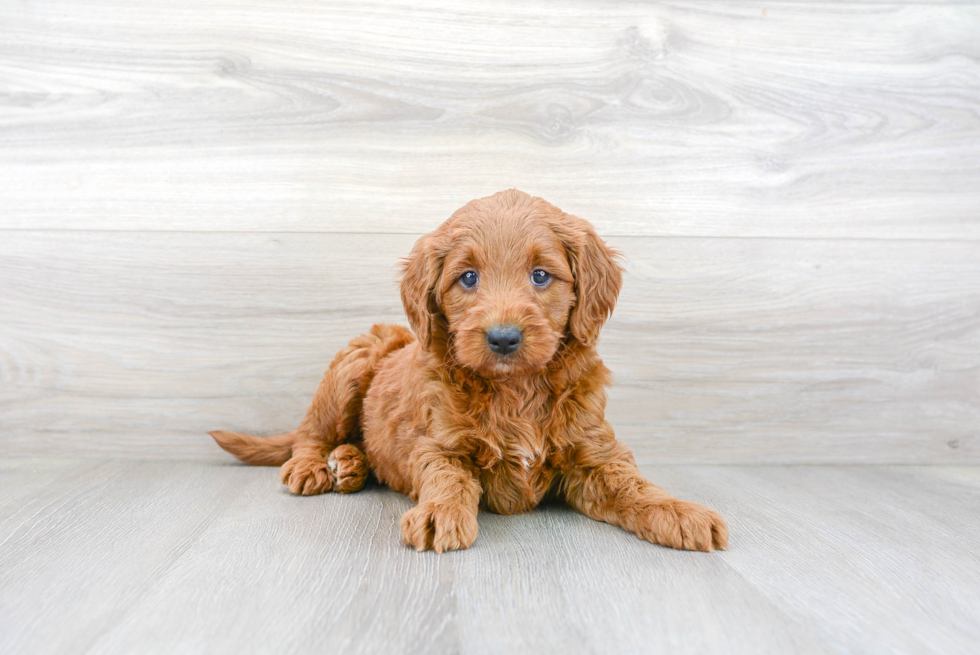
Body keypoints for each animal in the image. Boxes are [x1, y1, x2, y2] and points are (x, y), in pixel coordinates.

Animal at [212, 190, 728, 552]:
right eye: (468, 278)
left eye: (541, 275)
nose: (503, 338)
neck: (516, 389)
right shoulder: (439, 443)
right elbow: (447, 477)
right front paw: (440, 513)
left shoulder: (594, 454)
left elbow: (633, 484)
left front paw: (679, 511)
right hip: (353, 364)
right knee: (309, 433)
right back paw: (315, 466)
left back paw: (353, 464)